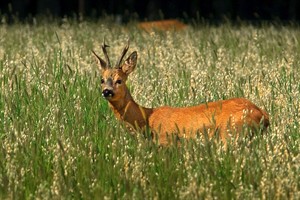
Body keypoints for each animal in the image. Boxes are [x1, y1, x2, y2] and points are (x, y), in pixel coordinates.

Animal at [91, 41, 270, 145]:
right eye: (101, 79)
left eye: (119, 80)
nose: (107, 91)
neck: (146, 119)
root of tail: (263, 114)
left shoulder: (166, 142)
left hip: (231, 133)